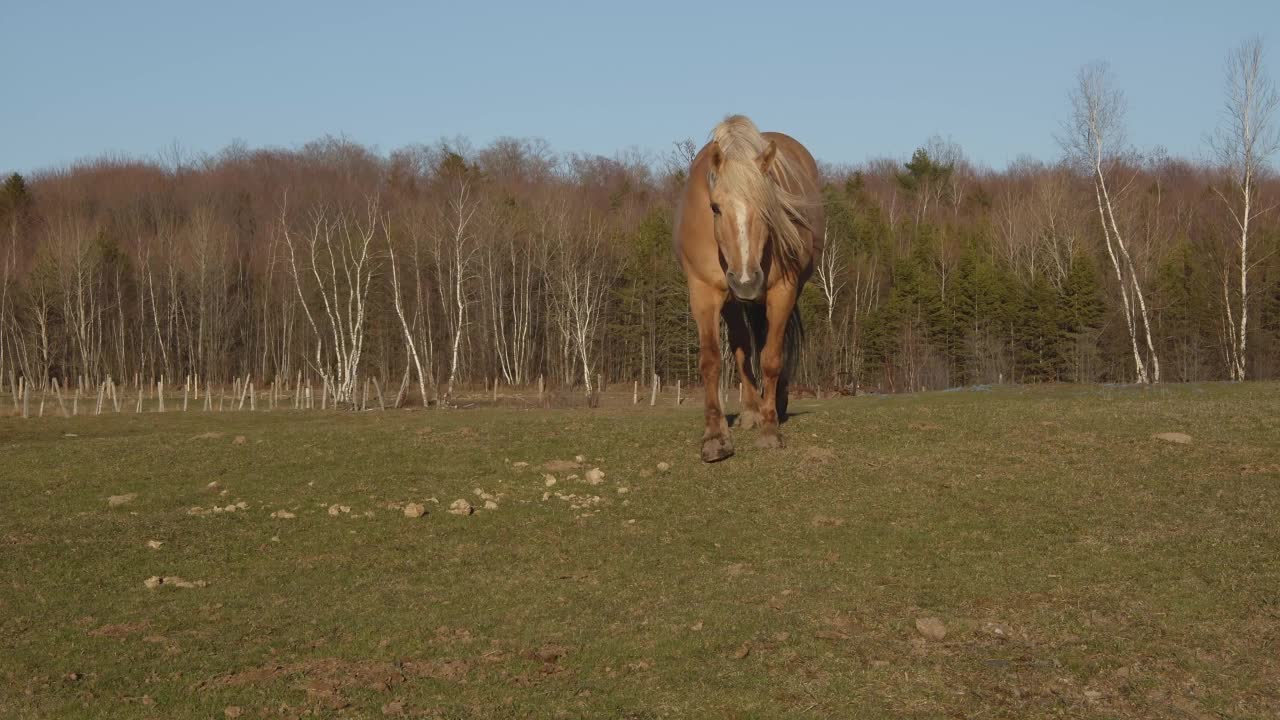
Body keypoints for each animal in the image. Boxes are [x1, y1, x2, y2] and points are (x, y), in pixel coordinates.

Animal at [675, 112, 824, 458]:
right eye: (715, 207)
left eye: (769, 209)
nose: (745, 280)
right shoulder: (703, 291)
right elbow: (711, 360)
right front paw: (715, 436)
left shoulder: (782, 290)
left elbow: (771, 357)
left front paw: (770, 429)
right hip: (732, 301)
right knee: (742, 345)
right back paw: (750, 410)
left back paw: (774, 405)